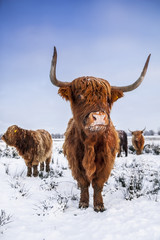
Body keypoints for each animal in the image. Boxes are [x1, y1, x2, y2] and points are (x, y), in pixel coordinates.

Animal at [49, 47, 151, 212]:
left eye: (107, 99)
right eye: (79, 95)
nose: (99, 117)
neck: (90, 142)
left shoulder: (106, 161)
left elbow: (97, 184)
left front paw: (98, 205)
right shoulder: (75, 161)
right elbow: (84, 183)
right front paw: (83, 203)